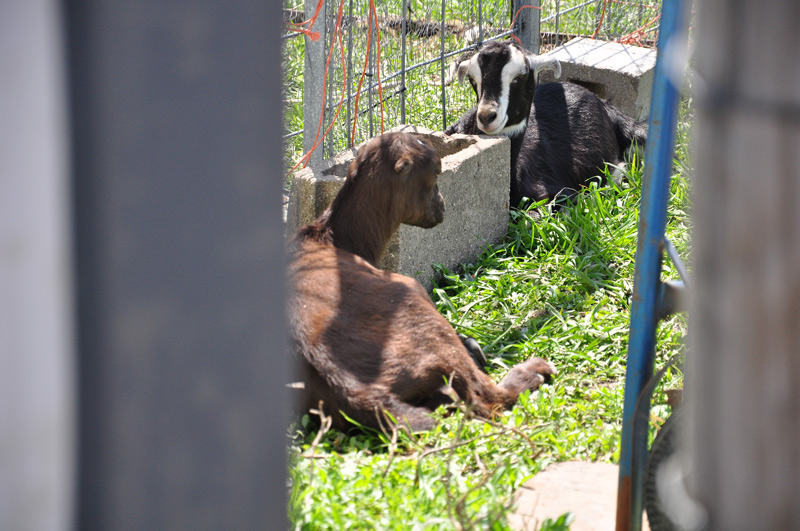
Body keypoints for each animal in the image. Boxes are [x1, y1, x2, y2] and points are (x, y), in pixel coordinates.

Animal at [288, 132, 556, 431]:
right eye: (436, 172)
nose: (442, 204)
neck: (333, 237)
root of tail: (358, 391)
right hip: (416, 306)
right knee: (489, 397)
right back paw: (534, 370)